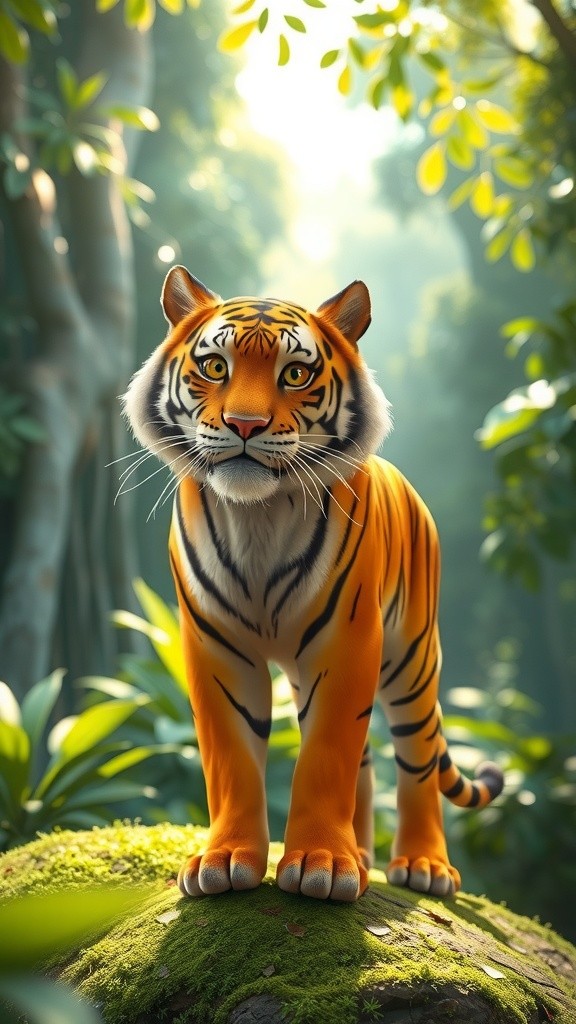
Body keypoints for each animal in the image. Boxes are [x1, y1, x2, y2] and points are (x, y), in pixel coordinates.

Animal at [123, 265, 504, 903]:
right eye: (216, 366)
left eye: (295, 374)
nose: (244, 425)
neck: (256, 517)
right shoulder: (215, 647)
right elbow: (231, 759)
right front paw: (226, 860)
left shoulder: (346, 641)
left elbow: (327, 754)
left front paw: (322, 863)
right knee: (369, 762)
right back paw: (366, 855)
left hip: (411, 658)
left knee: (417, 760)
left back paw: (422, 865)